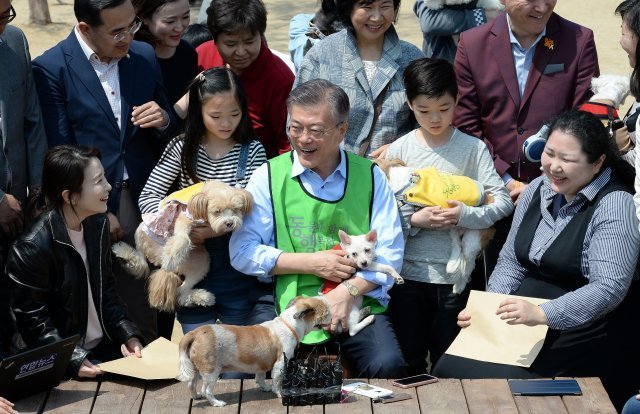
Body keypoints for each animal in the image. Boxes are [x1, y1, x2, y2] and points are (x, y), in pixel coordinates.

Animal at [110, 180, 252, 310]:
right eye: (217, 211)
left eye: (235, 210)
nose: (229, 223)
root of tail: (159, 261)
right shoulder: (184, 217)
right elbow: (182, 238)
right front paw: (170, 258)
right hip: (142, 230)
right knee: (141, 260)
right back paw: (123, 253)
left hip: (202, 264)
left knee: (180, 292)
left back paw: (203, 298)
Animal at [178, 296, 332, 406]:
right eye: (326, 312)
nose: (333, 315)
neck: (288, 325)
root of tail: (195, 333)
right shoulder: (280, 365)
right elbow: (277, 382)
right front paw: (280, 393)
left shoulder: (261, 364)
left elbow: (260, 378)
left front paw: (265, 387)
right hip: (211, 372)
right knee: (206, 390)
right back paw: (216, 403)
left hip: (196, 369)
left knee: (191, 384)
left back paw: (196, 396)